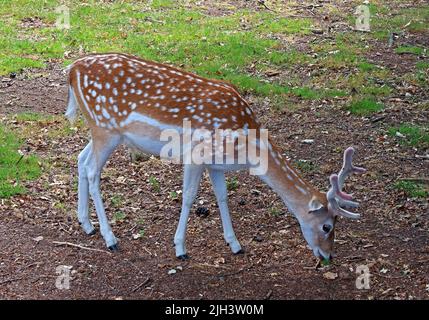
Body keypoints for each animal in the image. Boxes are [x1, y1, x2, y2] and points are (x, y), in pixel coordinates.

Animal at [64, 53, 364, 262]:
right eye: (327, 226)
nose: (328, 255)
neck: (246, 147)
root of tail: (72, 70)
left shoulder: (215, 163)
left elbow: (222, 196)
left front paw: (235, 245)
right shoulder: (196, 154)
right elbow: (188, 196)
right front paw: (180, 248)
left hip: (100, 131)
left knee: (80, 159)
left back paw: (86, 224)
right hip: (105, 128)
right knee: (92, 170)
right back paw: (110, 238)